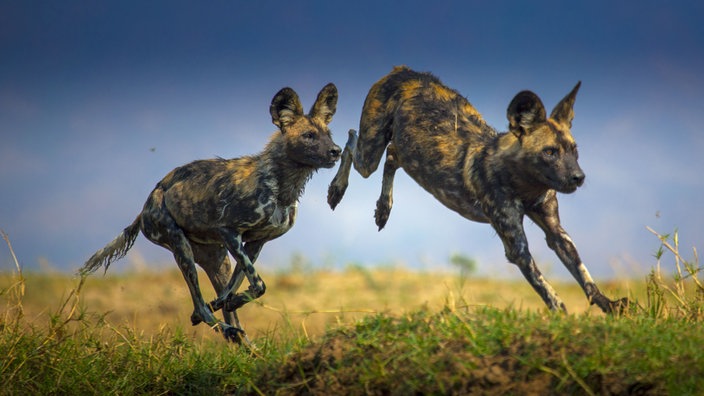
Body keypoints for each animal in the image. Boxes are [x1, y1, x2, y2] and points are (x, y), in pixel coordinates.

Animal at [80, 83, 344, 344]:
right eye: (308, 136)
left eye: (328, 135)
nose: (337, 150)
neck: (282, 188)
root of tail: (146, 204)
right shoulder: (229, 231)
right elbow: (258, 285)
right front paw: (229, 302)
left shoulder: (254, 243)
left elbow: (239, 288)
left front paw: (228, 300)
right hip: (181, 248)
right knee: (200, 305)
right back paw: (224, 327)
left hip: (216, 258)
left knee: (216, 308)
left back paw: (239, 339)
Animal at [328, 68, 628, 316]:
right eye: (550, 152)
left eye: (574, 151)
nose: (579, 177)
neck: (525, 183)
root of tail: (404, 71)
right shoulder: (517, 248)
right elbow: (545, 287)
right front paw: (561, 314)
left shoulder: (557, 233)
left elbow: (584, 277)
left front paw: (608, 305)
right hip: (368, 155)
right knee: (350, 142)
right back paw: (337, 189)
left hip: (404, 152)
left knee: (391, 157)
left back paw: (383, 208)